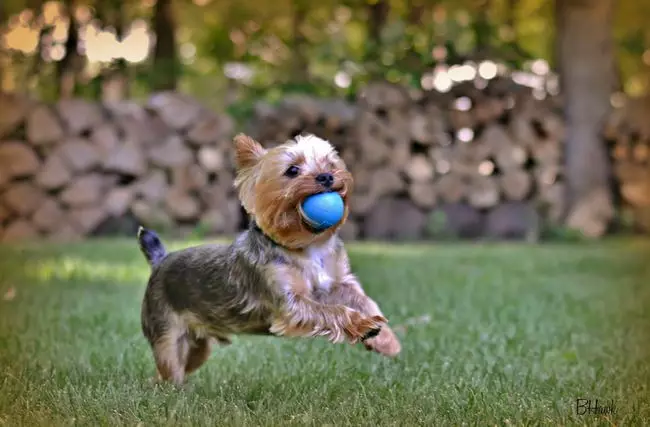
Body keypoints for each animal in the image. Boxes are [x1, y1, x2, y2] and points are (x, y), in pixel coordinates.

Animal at [137, 135, 400, 388]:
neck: (307, 245)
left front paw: (386, 339)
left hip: (198, 346)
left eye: (331, 164)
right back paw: (175, 389)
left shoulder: (339, 283)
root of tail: (160, 260)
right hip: (166, 332)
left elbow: (365, 301)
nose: (326, 176)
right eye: (292, 170)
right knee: (170, 366)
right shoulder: (289, 303)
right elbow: (331, 311)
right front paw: (363, 326)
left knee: (178, 367)